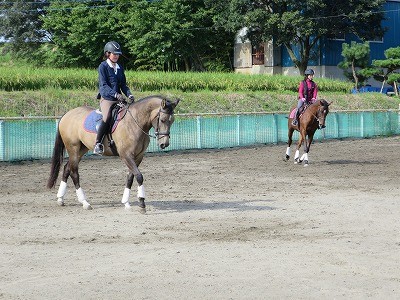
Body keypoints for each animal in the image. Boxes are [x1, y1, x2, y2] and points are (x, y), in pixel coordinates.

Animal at [47, 95, 180, 212]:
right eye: (162, 120)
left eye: (172, 121)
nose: (164, 144)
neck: (135, 122)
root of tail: (67, 114)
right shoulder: (126, 156)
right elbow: (139, 176)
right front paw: (142, 203)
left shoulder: (138, 157)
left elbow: (130, 177)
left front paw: (126, 203)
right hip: (73, 148)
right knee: (74, 173)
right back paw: (85, 202)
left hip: (81, 150)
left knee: (66, 168)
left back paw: (60, 199)